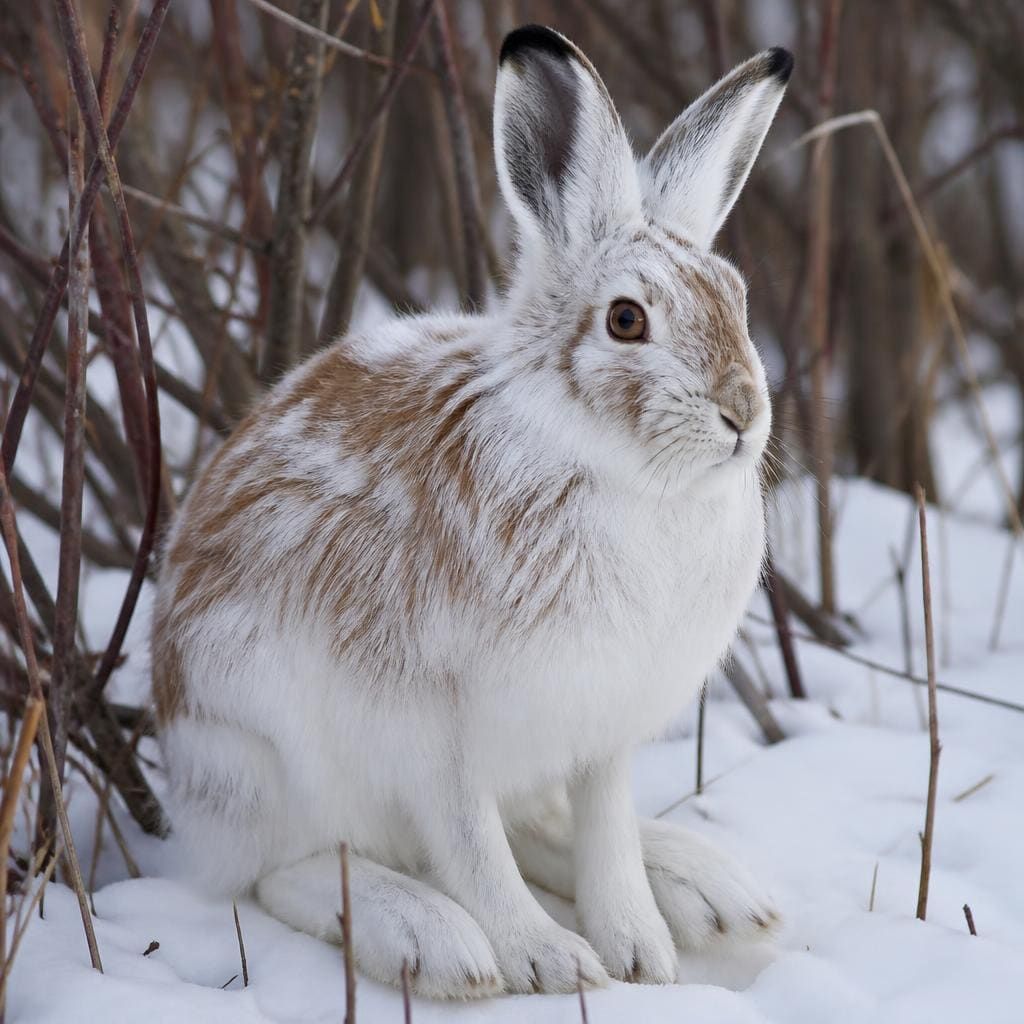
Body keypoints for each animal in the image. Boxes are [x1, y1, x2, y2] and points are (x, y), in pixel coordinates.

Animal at [152, 24, 792, 1000]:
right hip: (260, 758)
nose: (743, 414)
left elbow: (603, 834)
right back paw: (431, 941)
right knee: (286, 868)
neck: (624, 479)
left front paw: (640, 954)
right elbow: (472, 845)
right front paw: (546, 960)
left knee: (538, 827)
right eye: (627, 321)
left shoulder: (602, 728)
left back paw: (709, 889)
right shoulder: (431, 727)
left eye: (741, 301)